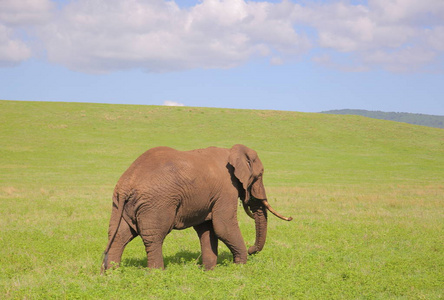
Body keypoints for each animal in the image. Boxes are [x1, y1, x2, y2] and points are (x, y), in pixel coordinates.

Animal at [100, 144, 292, 274]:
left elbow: (207, 229)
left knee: (119, 235)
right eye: (260, 175)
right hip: (156, 203)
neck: (231, 151)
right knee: (153, 237)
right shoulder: (226, 190)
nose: (252, 250)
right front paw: (239, 268)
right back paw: (157, 274)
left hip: (120, 204)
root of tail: (127, 183)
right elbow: (223, 226)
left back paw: (112, 273)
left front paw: (209, 271)